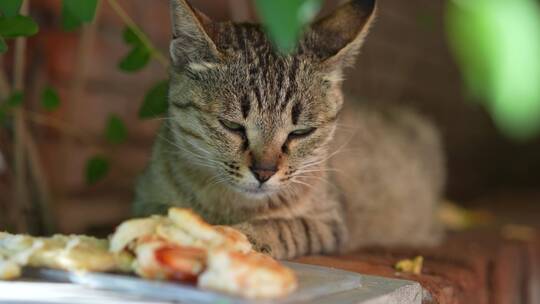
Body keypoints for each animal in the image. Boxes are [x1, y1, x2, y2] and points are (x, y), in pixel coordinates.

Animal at [133, 0, 446, 258]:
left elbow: (286, 226)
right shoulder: (145, 198)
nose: (264, 172)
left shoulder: (330, 222)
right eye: (232, 125)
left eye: (300, 132)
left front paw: (247, 236)